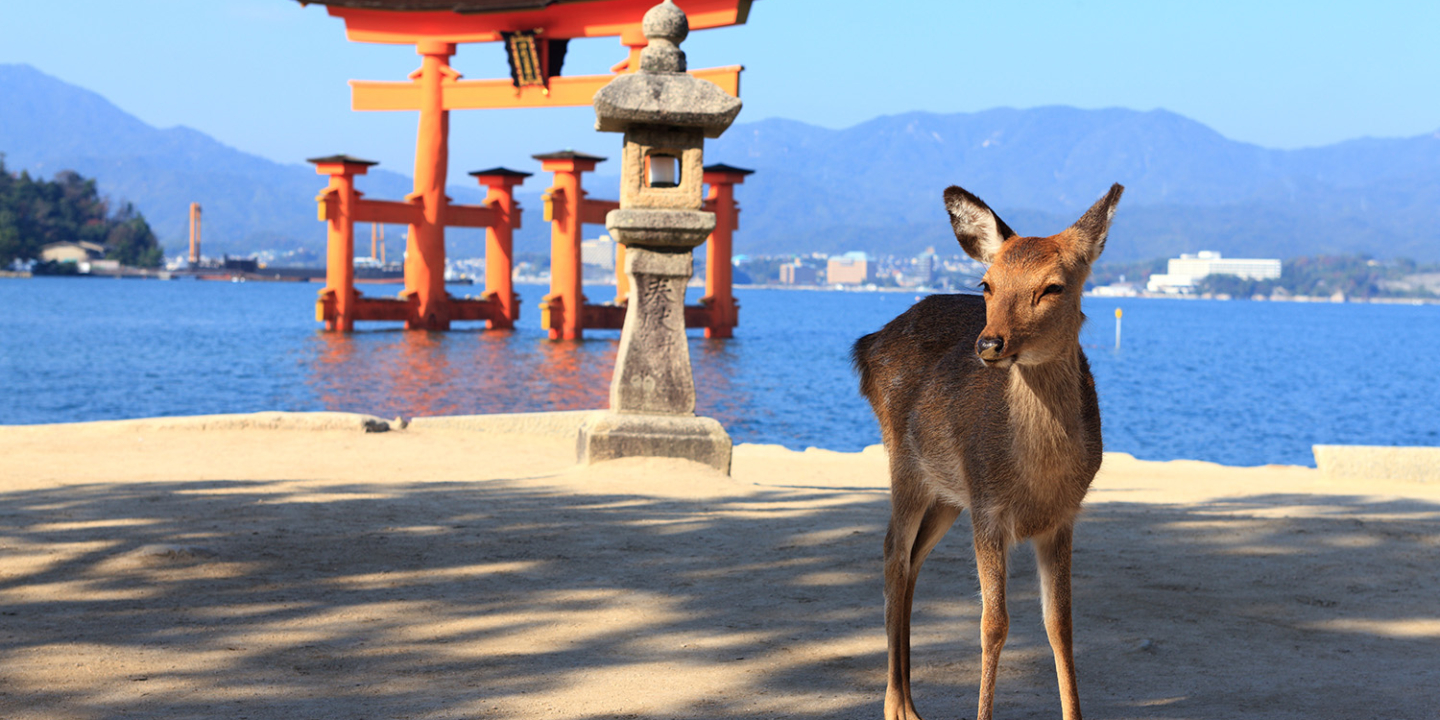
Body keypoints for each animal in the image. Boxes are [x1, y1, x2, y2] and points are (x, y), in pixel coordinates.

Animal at [846, 181, 1117, 720]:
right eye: (986, 285)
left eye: (1053, 287)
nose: (990, 343)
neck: (1038, 477)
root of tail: (866, 346)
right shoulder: (989, 509)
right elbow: (993, 624)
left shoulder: (1062, 517)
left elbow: (1061, 625)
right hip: (904, 462)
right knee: (892, 553)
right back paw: (896, 705)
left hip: (949, 493)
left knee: (914, 559)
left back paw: (911, 699)